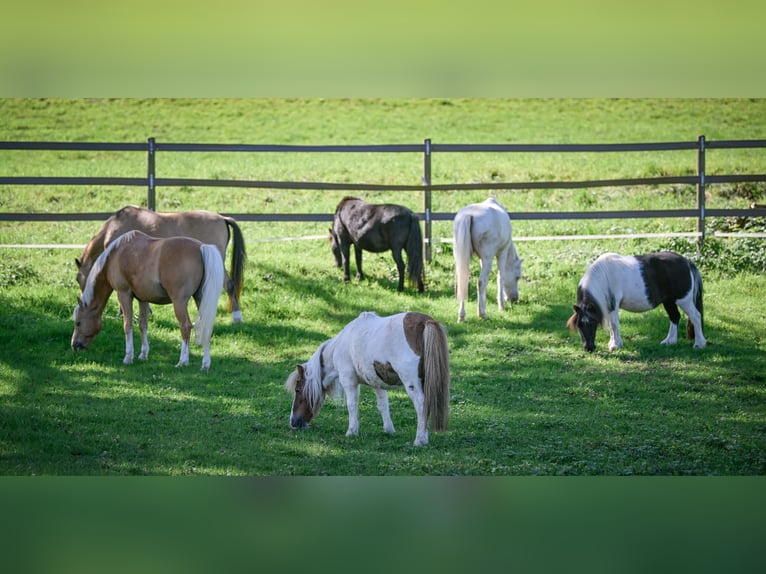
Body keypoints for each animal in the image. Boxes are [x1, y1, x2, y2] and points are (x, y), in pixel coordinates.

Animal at [70, 231, 226, 372]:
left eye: (78, 323)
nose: (74, 345)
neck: (116, 255)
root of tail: (201, 247)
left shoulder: (124, 294)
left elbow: (127, 325)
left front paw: (128, 357)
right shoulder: (143, 299)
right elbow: (143, 325)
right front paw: (143, 354)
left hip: (179, 303)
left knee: (186, 326)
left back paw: (182, 361)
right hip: (200, 299)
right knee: (206, 327)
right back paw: (205, 364)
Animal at [74, 207, 244, 324]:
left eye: (78, 279)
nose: (85, 301)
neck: (115, 226)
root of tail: (222, 217)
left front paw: (123, 312)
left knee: (229, 285)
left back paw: (236, 317)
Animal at [288, 312, 450, 448]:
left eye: (298, 390)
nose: (293, 422)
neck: (340, 346)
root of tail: (425, 321)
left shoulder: (349, 381)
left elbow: (352, 405)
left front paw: (351, 432)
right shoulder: (377, 383)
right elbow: (383, 406)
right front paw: (389, 430)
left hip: (412, 384)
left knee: (421, 405)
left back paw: (419, 440)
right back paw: (424, 438)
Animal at [568, 251, 712, 352]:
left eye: (592, 323)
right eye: (579, 325)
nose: (589, 348)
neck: (604, 276)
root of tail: (686, 261)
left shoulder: (613, 306)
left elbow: (614, 325)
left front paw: (615, 345)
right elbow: (611, 325)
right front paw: (612, 343)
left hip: (683, 300)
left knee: (695, 316)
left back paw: (699, 343)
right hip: (669, 301)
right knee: (674, 317)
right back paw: (669, 341)